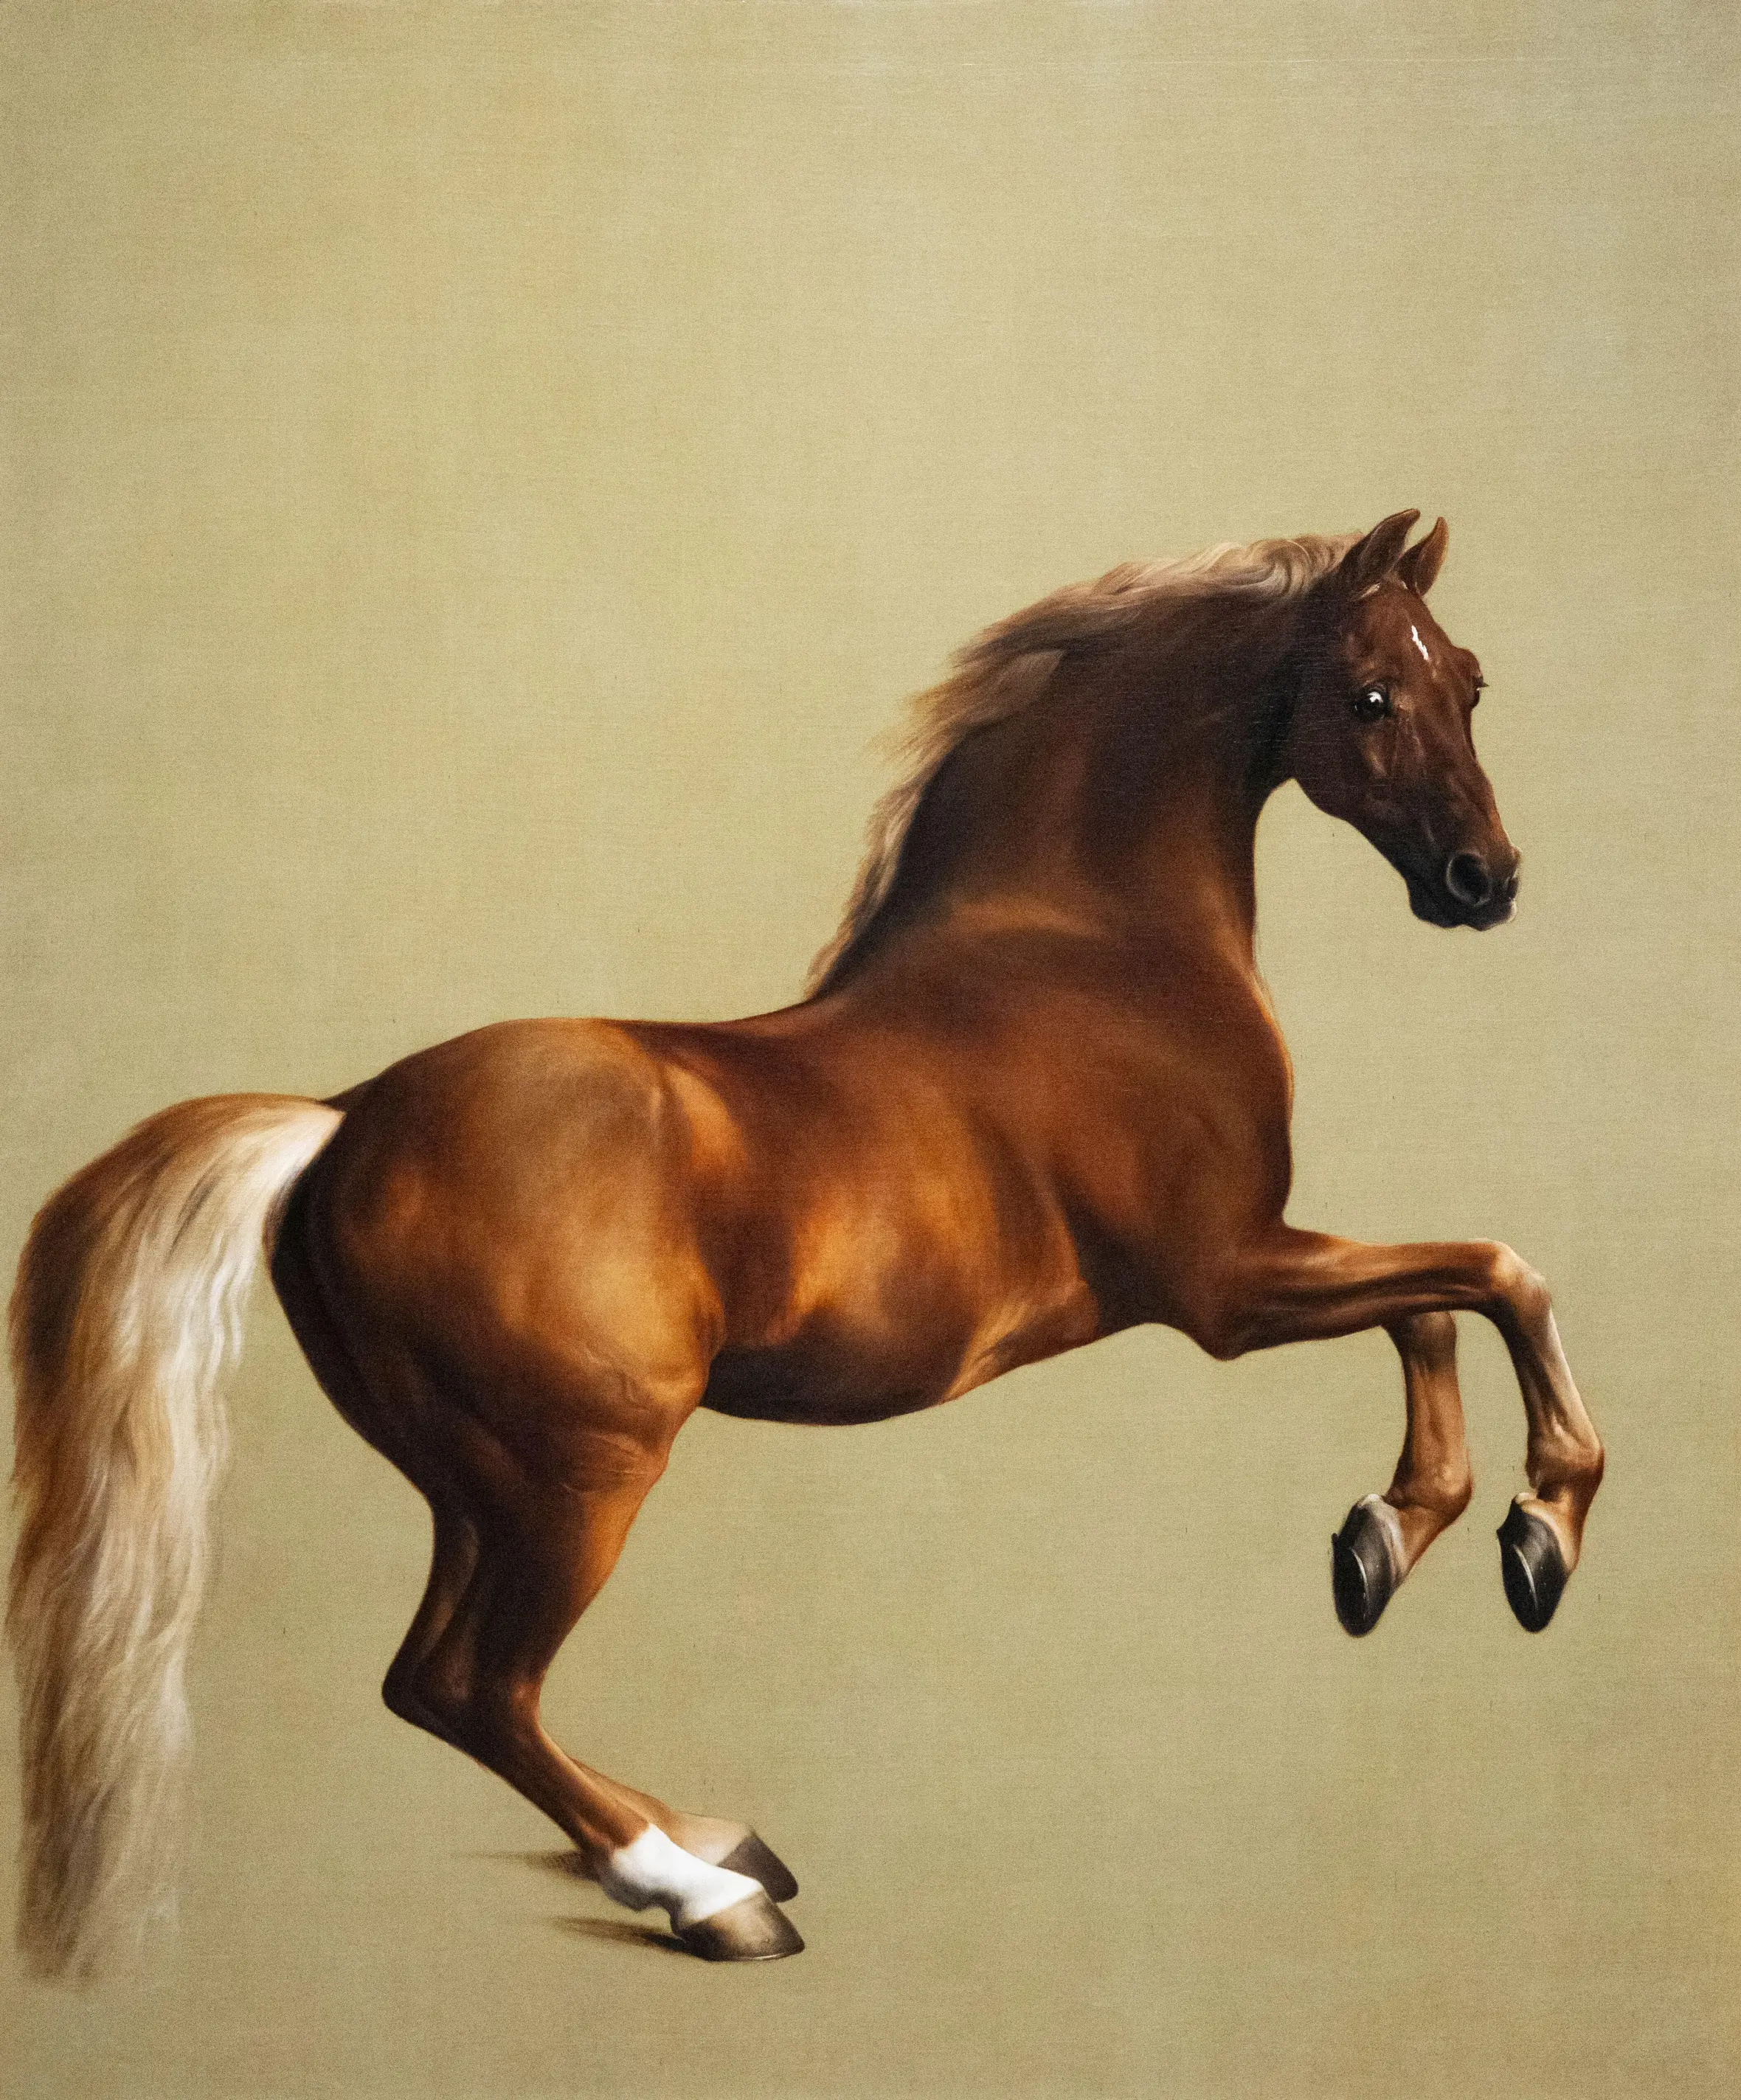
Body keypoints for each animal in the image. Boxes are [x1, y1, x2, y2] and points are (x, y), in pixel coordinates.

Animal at [8, 509, 1604, 1979]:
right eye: (1371, 695)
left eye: (1469, 678)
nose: (1485, 878)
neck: (1092, 947)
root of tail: (341, 1123)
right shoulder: (1226, 1281)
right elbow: (1493, 1272)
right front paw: (1537, 1529)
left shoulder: (1263, 1263)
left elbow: (1436, 1303)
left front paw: (1385, 1539)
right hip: (580, 1473)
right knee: (469, 1685)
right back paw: (705, 1891)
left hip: (475, 1482)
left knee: (444, 1684)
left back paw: (710, 1840)